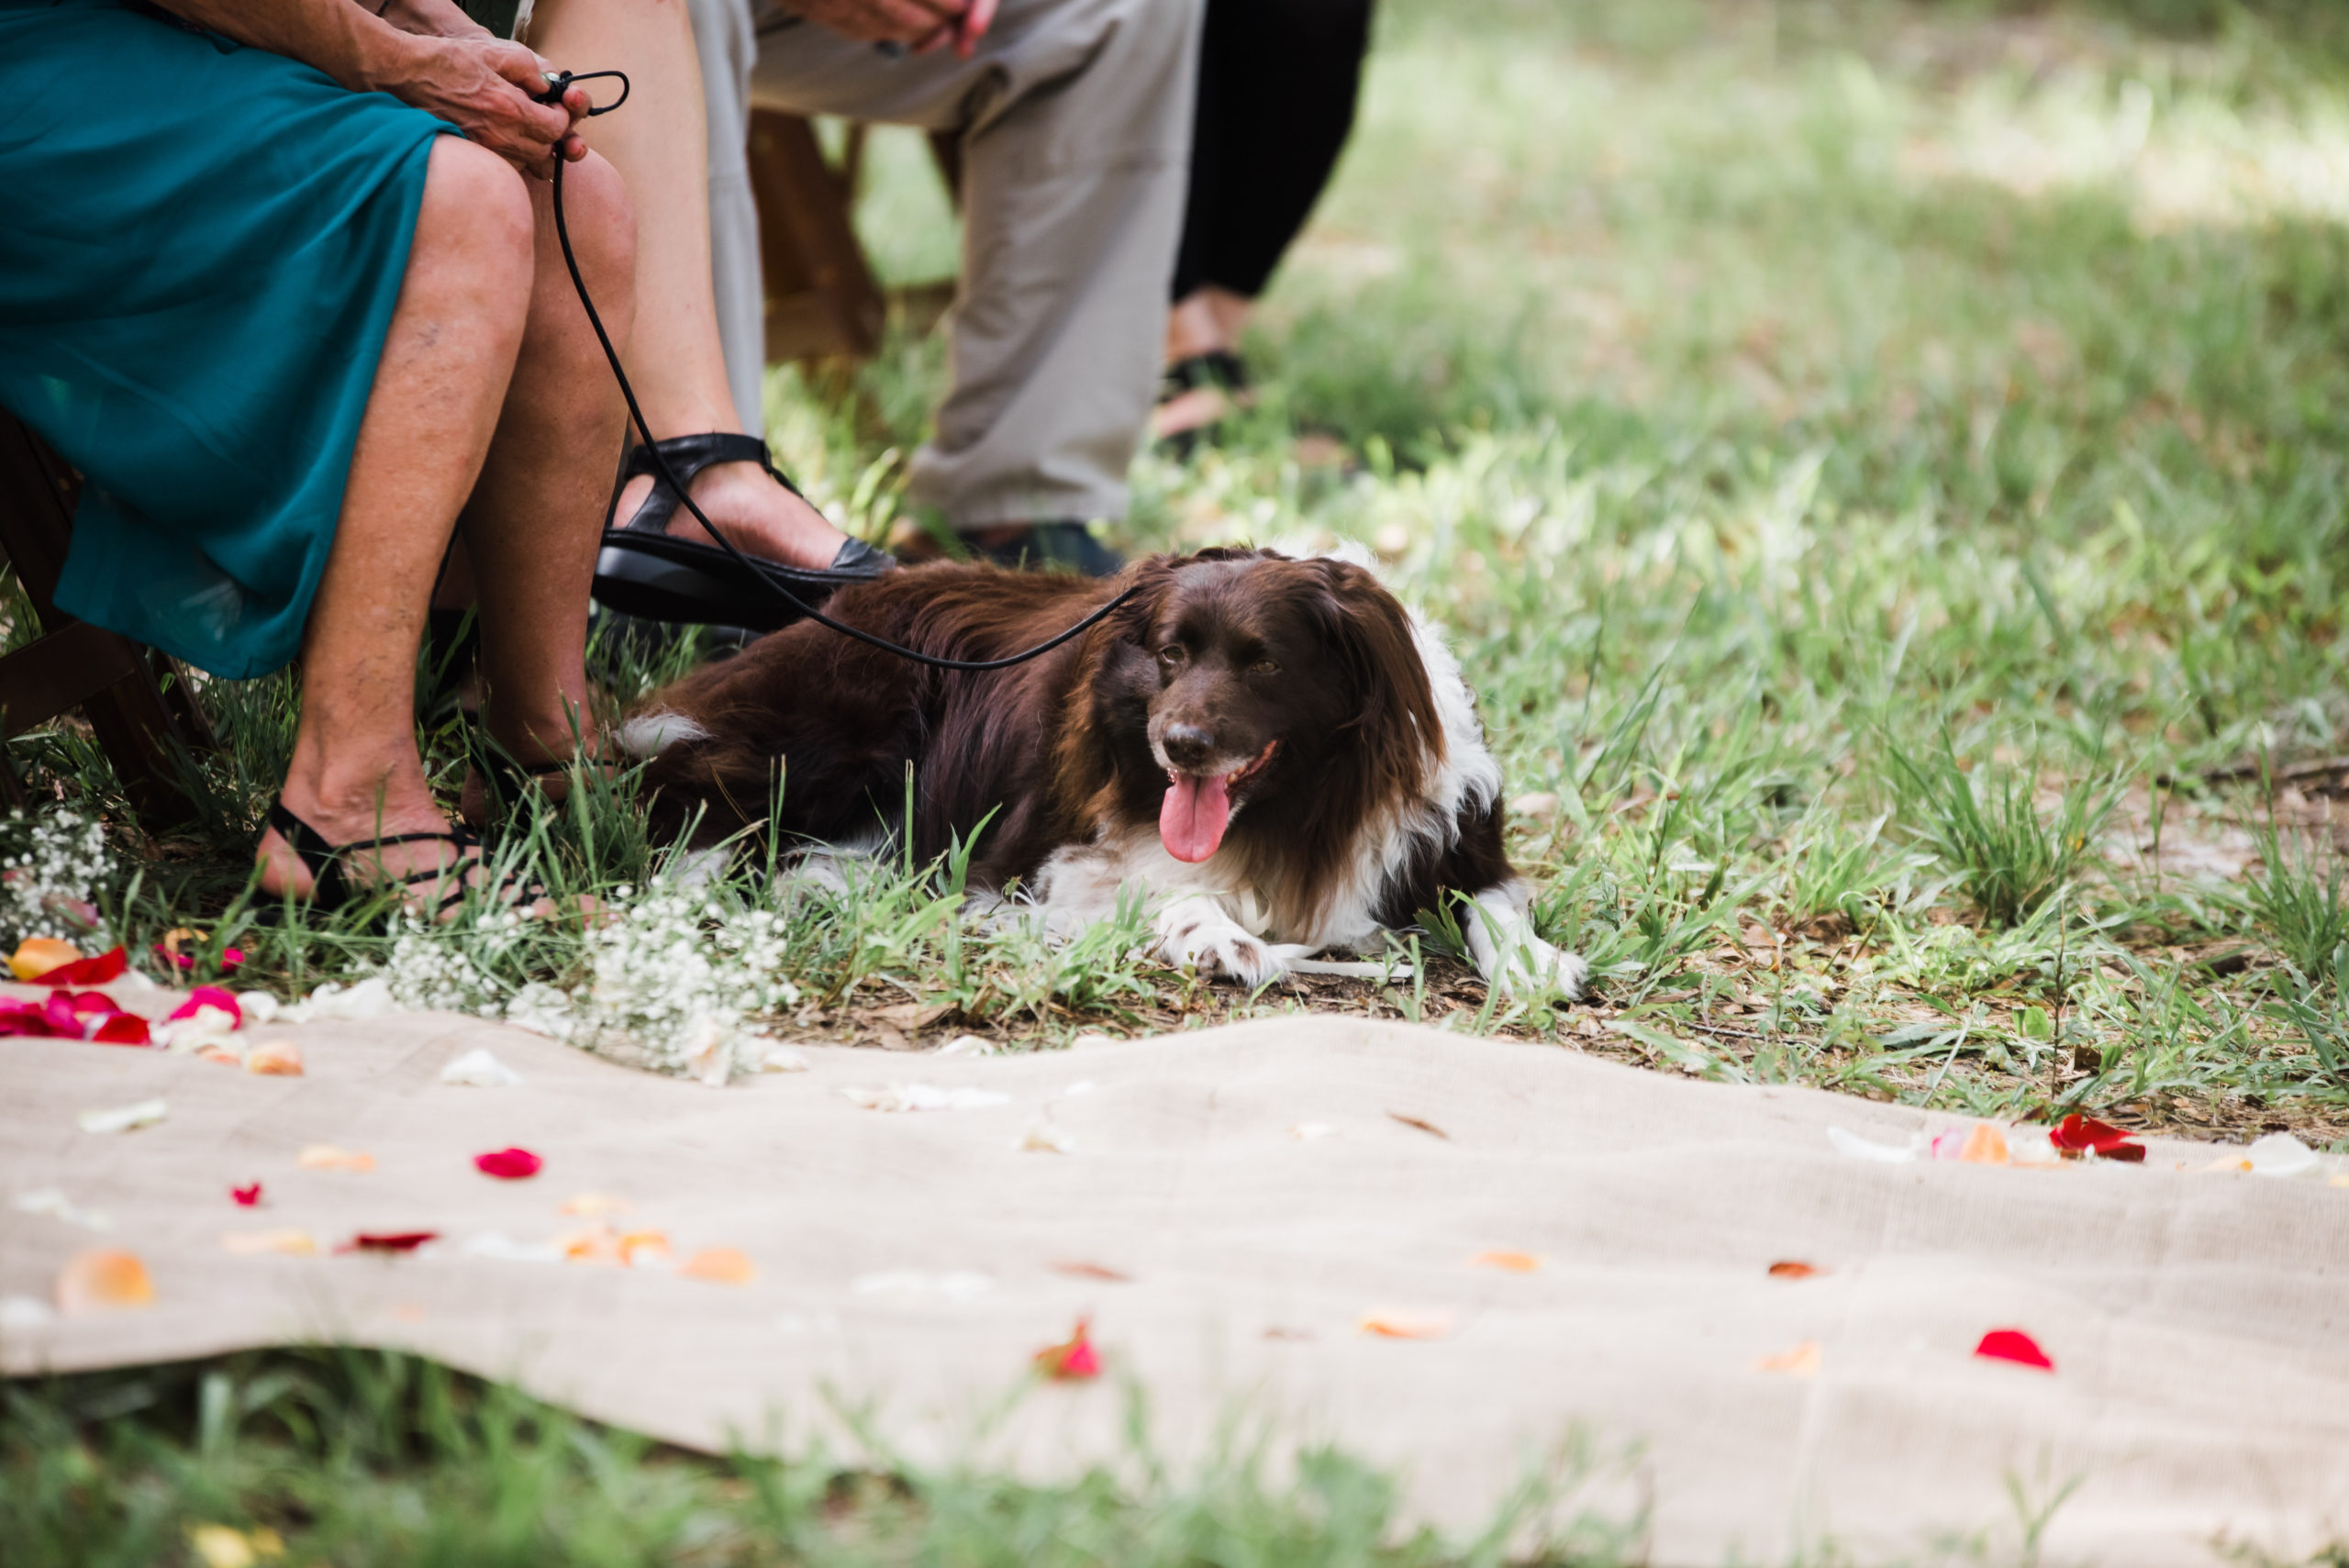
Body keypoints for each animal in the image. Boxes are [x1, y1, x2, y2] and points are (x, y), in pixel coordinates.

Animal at [624, 549, 1587, 990]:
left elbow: (1495, 904)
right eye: (1169, 654)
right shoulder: (1032, 865)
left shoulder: (1455, 838)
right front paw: (1222, 936)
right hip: (844, 730)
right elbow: (1170, 894)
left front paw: (1534, 962)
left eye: (1264, 663)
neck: (1305, 802)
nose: (1182, 744)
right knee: (696, 801)